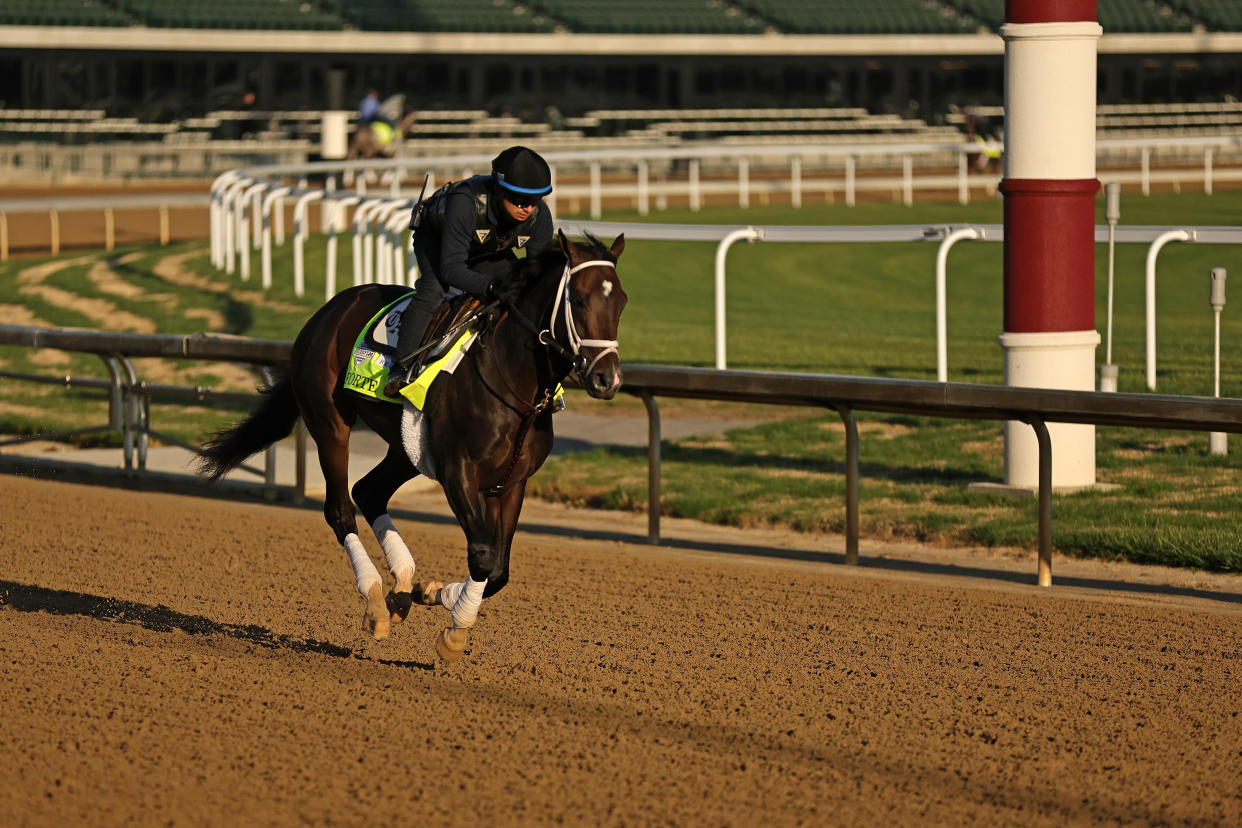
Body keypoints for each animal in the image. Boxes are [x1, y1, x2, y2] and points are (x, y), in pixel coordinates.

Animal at [197, 232, 625, 660]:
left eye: (620, 301)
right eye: (579, 299)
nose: (608, 379)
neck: (511, 381)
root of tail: (328, 310)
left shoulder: (512, 481)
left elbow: (498, 569)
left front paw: (429, 592)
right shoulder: (458, 472)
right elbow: (483, 556)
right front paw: (453, 632)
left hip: (406, 448)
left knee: (368, 491)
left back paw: (401, 585)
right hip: (330, 424)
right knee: (340, 509)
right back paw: (374, 599)